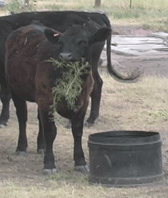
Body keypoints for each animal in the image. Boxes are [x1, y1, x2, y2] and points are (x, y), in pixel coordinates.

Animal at [0, 10, 138, 127]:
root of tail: (95, 14)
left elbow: (5, 95)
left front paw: (3, 119)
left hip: (90, 64)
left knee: (96, 84)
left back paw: (89, 119)